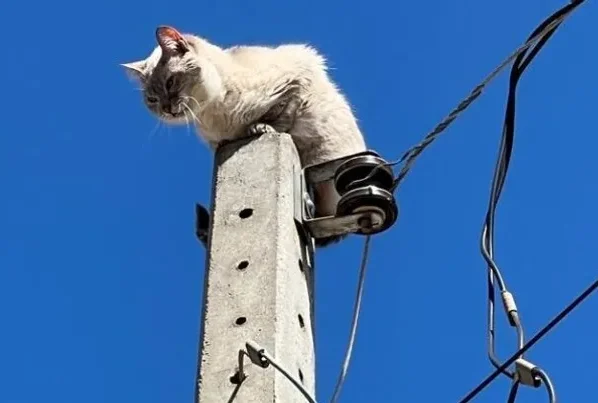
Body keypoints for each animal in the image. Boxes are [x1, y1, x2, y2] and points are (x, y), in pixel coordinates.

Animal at [121, 25, 366, 248]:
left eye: (170, 82)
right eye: (152, 100)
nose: (166, 109)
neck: (213, 111)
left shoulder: (298, 74)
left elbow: (282, 114)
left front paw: (261, 127)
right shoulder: (216, 141)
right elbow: (227, 140)